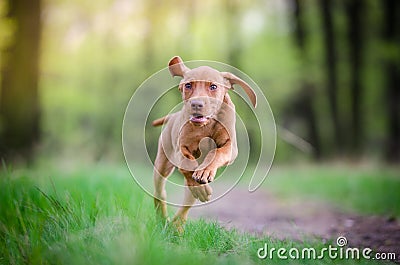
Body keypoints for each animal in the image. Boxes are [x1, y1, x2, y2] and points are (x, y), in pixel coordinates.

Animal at [153, 56, 256, 231]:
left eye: (213, 86)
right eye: (188, 85)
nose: (196, 104)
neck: (206, 125)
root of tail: (173, 116)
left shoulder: (231, 148)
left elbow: (216, 153)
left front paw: (204, 172)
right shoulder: (180, 149)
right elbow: (187, 163)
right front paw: (201, 185)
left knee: (185, 205)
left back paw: (177, 226)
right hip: (162, 164)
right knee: (160, 192)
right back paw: (163, 218)